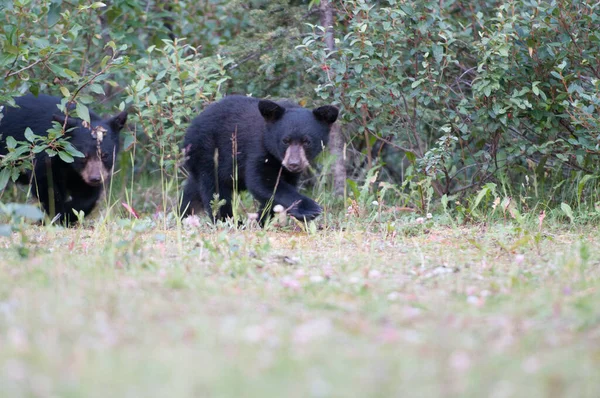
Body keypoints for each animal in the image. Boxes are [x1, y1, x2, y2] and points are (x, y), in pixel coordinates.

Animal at [0, 92, 127, 224]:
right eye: (83, 156)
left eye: (105, 155)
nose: (95, 178)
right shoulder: (45, 155)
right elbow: (47, 186)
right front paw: (56, 216)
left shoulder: (82, 174)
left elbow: (87, 195)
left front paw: (70, 213)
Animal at [179, 95, 338, 222]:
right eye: (285, 141)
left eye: (307, 141)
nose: (294, 163)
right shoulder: (258, 148)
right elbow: (262, 182)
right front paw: (310, 209)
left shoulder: (288, 171)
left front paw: (262, 218)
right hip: (208, 152)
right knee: (215, 190)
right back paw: (228, 220)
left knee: (193, 190)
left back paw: (184, 214)